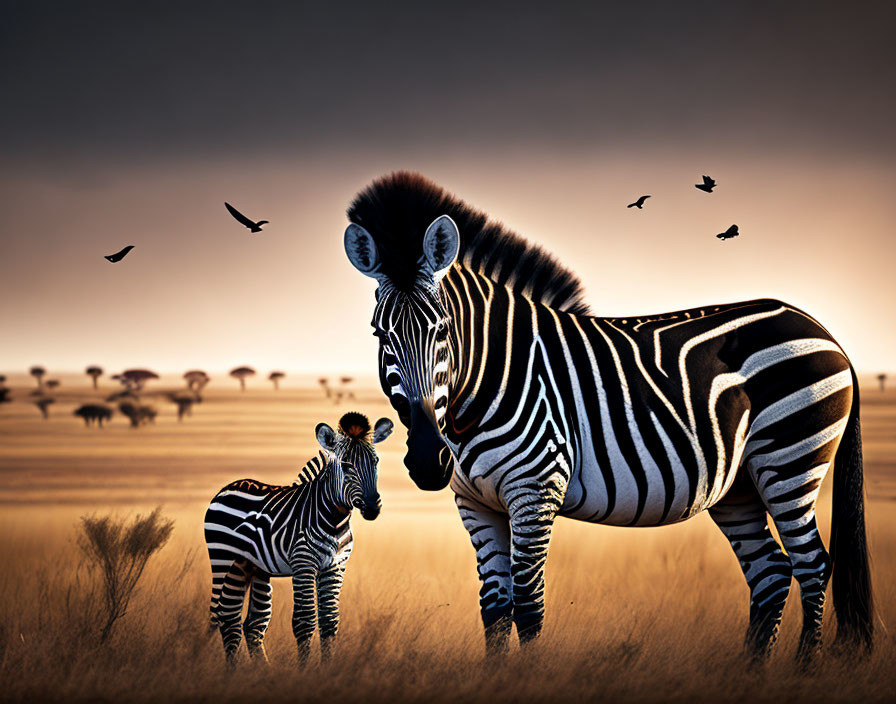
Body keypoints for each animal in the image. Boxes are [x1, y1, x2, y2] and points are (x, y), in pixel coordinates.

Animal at [210, 410, 396, 664]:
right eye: (346, 465)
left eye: (375, 462)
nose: (372, 508)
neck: (334, 519)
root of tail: (227, 487)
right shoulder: (303, 563)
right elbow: (304, 622)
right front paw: (304, 672)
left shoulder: (335, 566)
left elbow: (329, 621)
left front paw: (328, 669)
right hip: (224, 560)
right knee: (227, 618)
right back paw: (233, 672)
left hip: (252, 567)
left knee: (253, 623)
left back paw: (261, 671)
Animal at [344, 170, 876, 660]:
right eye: (378, 334)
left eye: (443, 329)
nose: (428, 460)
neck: (486, 380)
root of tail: (821, 329)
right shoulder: (475, 503)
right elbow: (493, 607)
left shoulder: (536, 488)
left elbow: (528, 604)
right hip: (739, 484)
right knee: (771, 572)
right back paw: (751, 675)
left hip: (791, 458)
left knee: (812, 565)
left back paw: (802, 670)